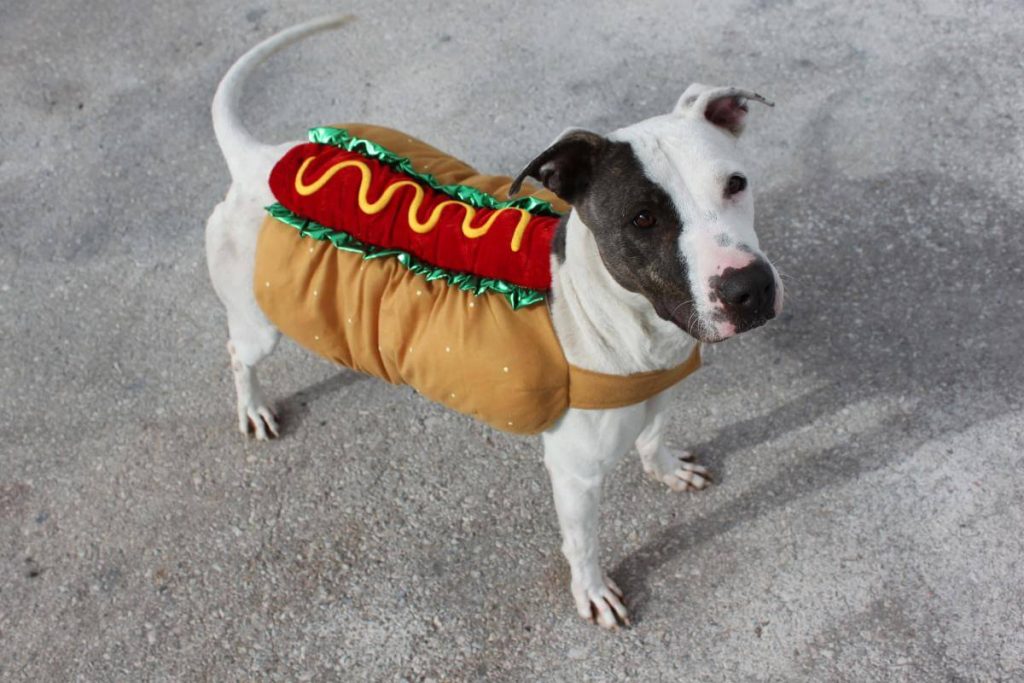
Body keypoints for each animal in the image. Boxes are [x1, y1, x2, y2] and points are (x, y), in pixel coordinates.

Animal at [207, 15, 782, 626]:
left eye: (735, 184)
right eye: (643, 218)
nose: (750, 289)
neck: (620, 319)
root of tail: (262, 159)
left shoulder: (660, 393)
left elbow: (653, 437)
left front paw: (666, 467)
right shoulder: (575, 474)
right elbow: (583, 543)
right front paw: (592, 591)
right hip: (261, 321)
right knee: (239, 354)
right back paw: (253, 406)